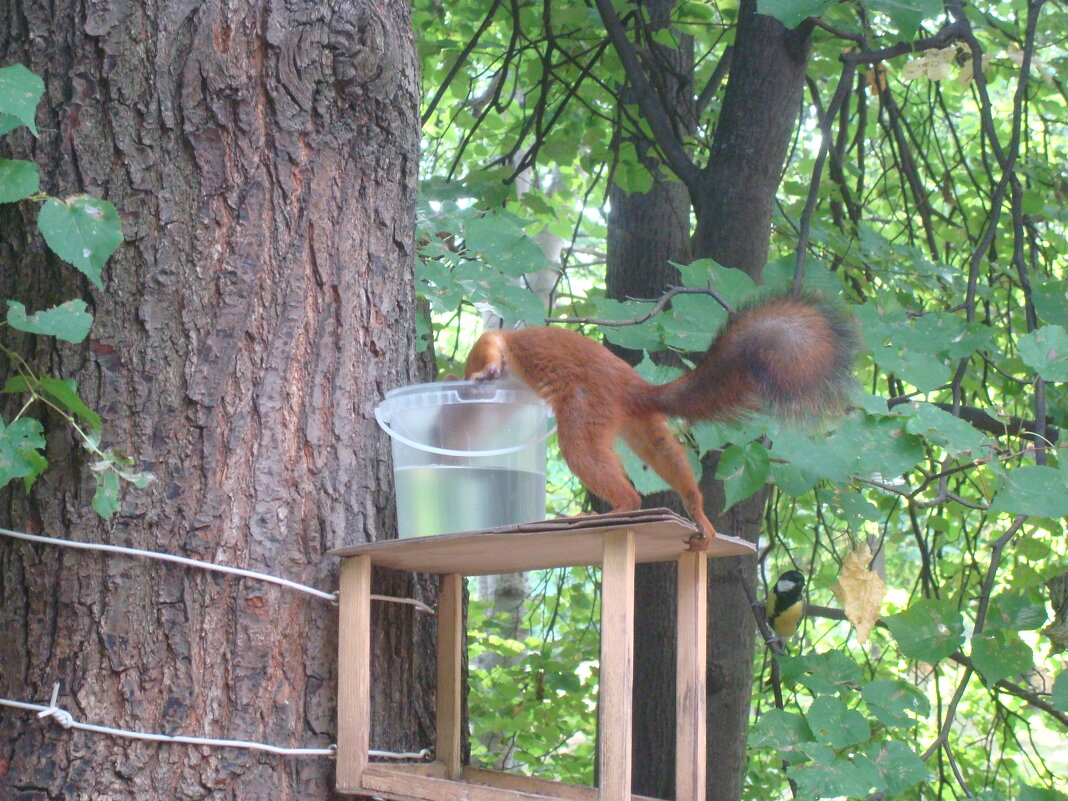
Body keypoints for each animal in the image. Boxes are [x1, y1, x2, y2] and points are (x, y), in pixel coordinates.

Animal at [463, 292, 854, 551]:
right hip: (644, 430)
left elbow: (490, 348)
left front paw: (484, 373)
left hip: (584, 412)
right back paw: (699, 515)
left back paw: (612, 509)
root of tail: (634, 388)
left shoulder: (495, 342)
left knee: (613, 480)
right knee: (670, 461)